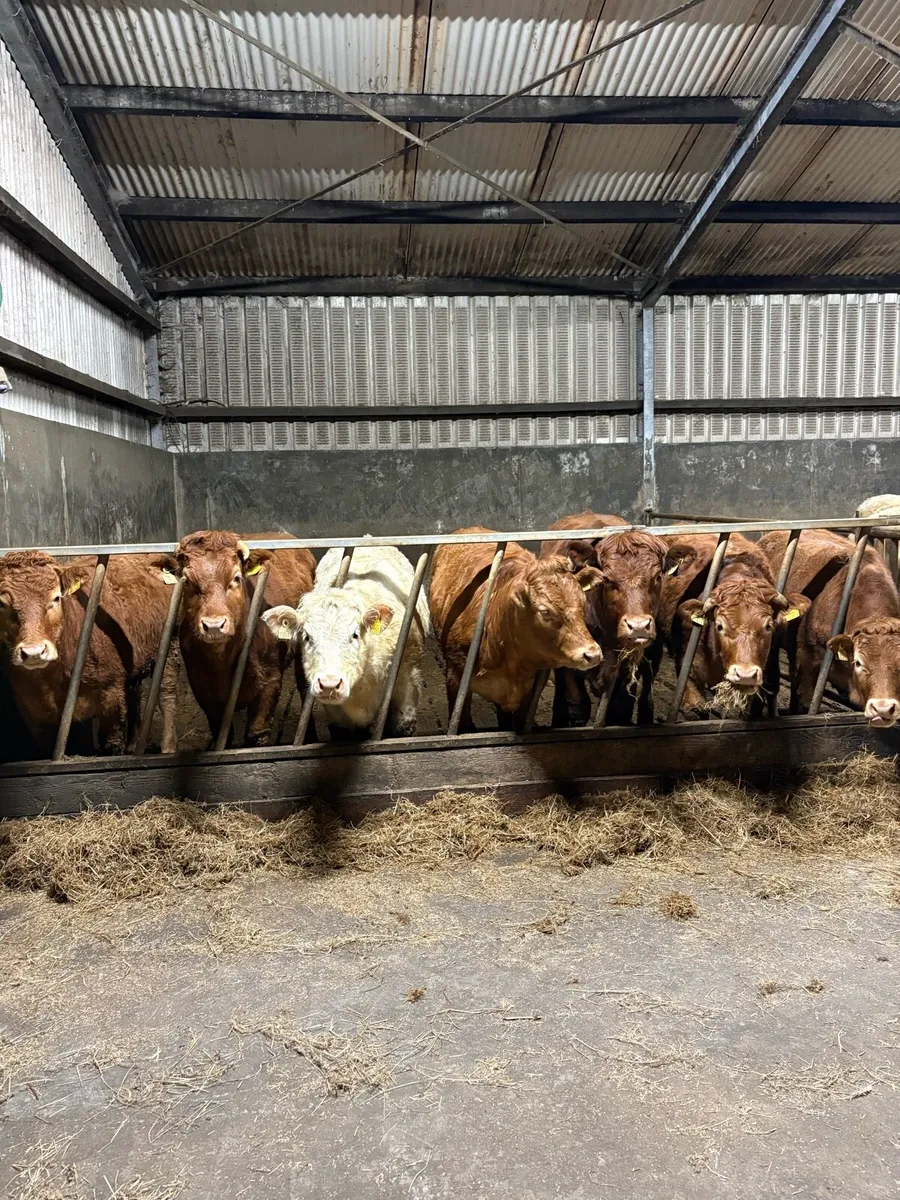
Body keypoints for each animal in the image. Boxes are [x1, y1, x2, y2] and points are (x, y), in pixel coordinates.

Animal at [0, 550, 178, 755]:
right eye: (2, 604)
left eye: (56, 598)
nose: (34, 652)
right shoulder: (34, 713)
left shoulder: (111, 695)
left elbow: (111, 745)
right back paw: (133, 745)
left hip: (170, 646)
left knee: (166, 693)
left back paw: (168, 746)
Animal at [156, 531, 315, 747]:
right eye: (187, 581)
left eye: (236, 577)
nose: (214, 625)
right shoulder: (204, 693)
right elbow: (223, 735)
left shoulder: (270, 683)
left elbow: (257, 733)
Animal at [261, 544, 431, 740]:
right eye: (307, 637)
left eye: (355, 635)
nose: (329, 684)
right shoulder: (336, 714)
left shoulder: (408, 679)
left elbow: (403, 728)